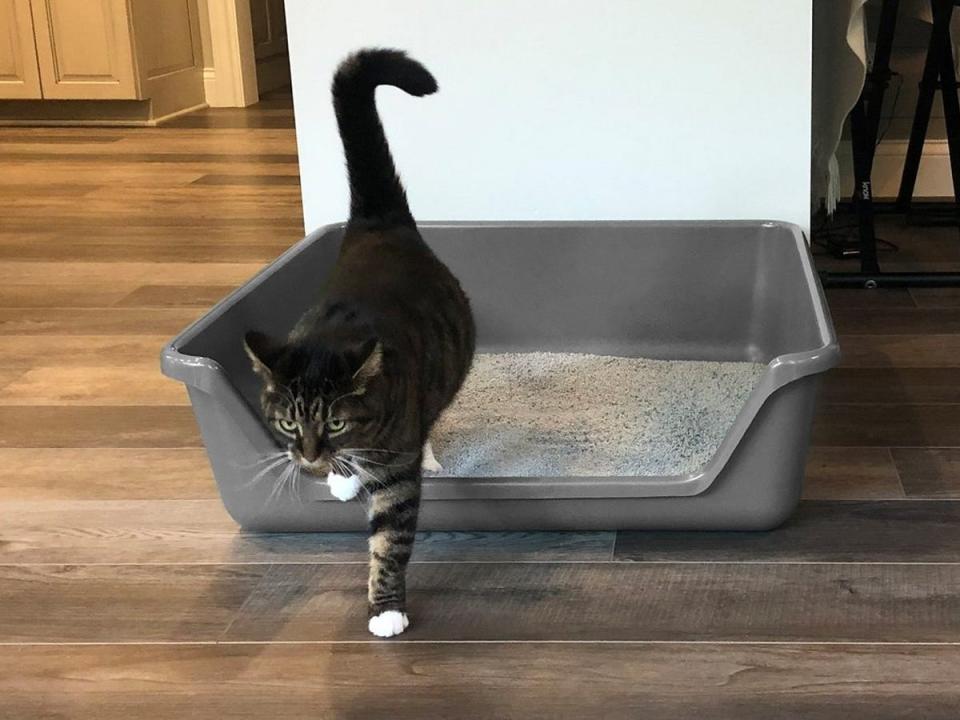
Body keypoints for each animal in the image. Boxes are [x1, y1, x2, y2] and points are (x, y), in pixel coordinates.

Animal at [244, 47, 476, 640]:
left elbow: (390, 536)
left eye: (335, 422)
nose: (309, 456)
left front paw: (386, 609)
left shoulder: (394, 461)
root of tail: (377, 223)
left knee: (434, 411)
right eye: (286, 424)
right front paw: (343, 479)